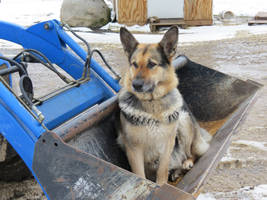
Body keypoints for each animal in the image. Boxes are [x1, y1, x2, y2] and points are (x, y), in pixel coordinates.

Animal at [118, 25, 213, 185]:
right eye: (134, 64)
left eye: (152, 64)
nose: (136, 85)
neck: (152, 105)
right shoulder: (134, 149)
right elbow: (140, 175)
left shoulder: (167, 143)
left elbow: (162, 171)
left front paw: (161, 185)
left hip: (183, 122)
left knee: (191, 152)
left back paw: (186, 163)